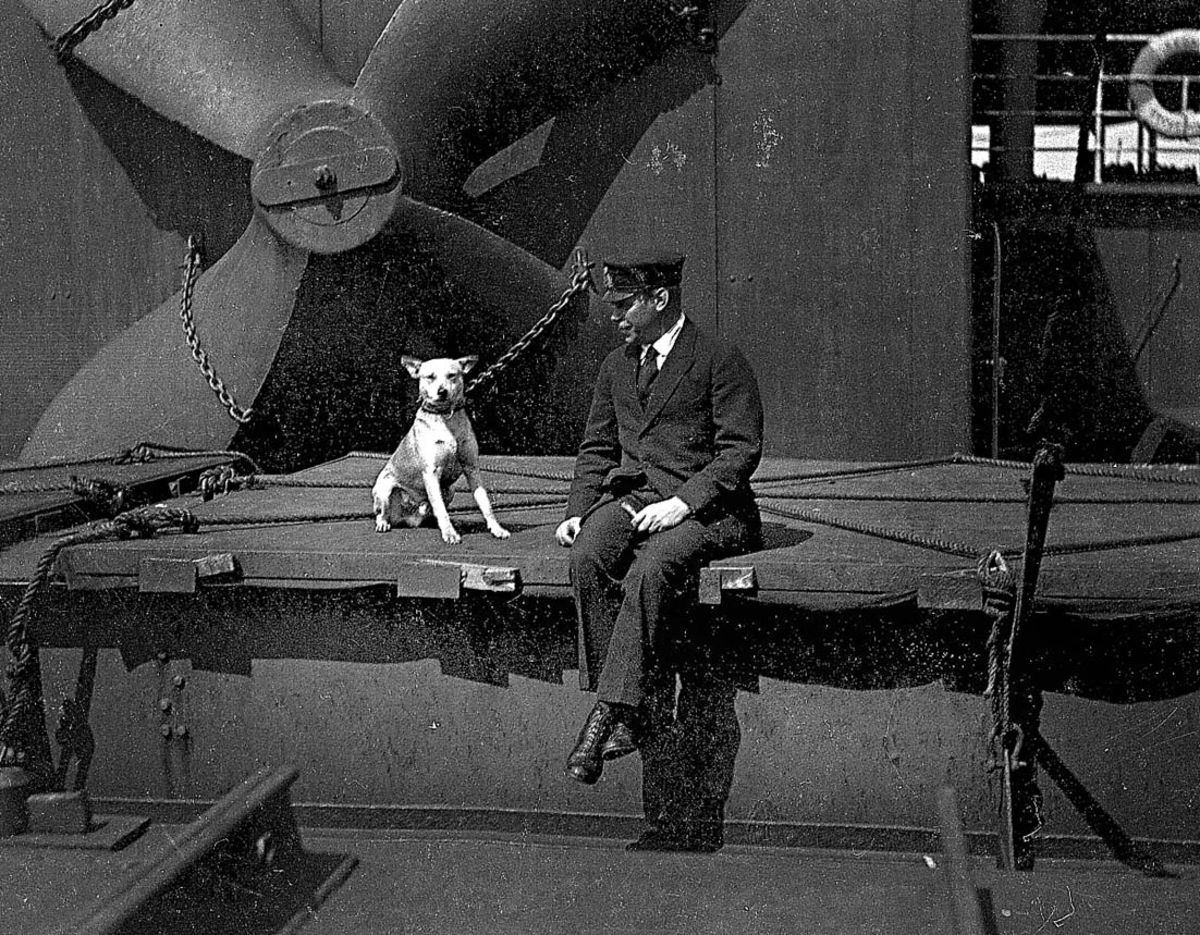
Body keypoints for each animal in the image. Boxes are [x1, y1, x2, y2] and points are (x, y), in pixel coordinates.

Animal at [372, 355, 510, 544]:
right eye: (430, 377)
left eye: (452, 375)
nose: (442, 391)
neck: (446, 417)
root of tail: (407, 519)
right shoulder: (431, 472)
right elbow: (441, 510)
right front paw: (450, 534)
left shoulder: (472, 468)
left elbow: (484, 503)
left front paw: (497, 529)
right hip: (384, 489)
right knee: (383, 513)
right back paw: (384, 523)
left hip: (450, 490)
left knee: (431, 512)